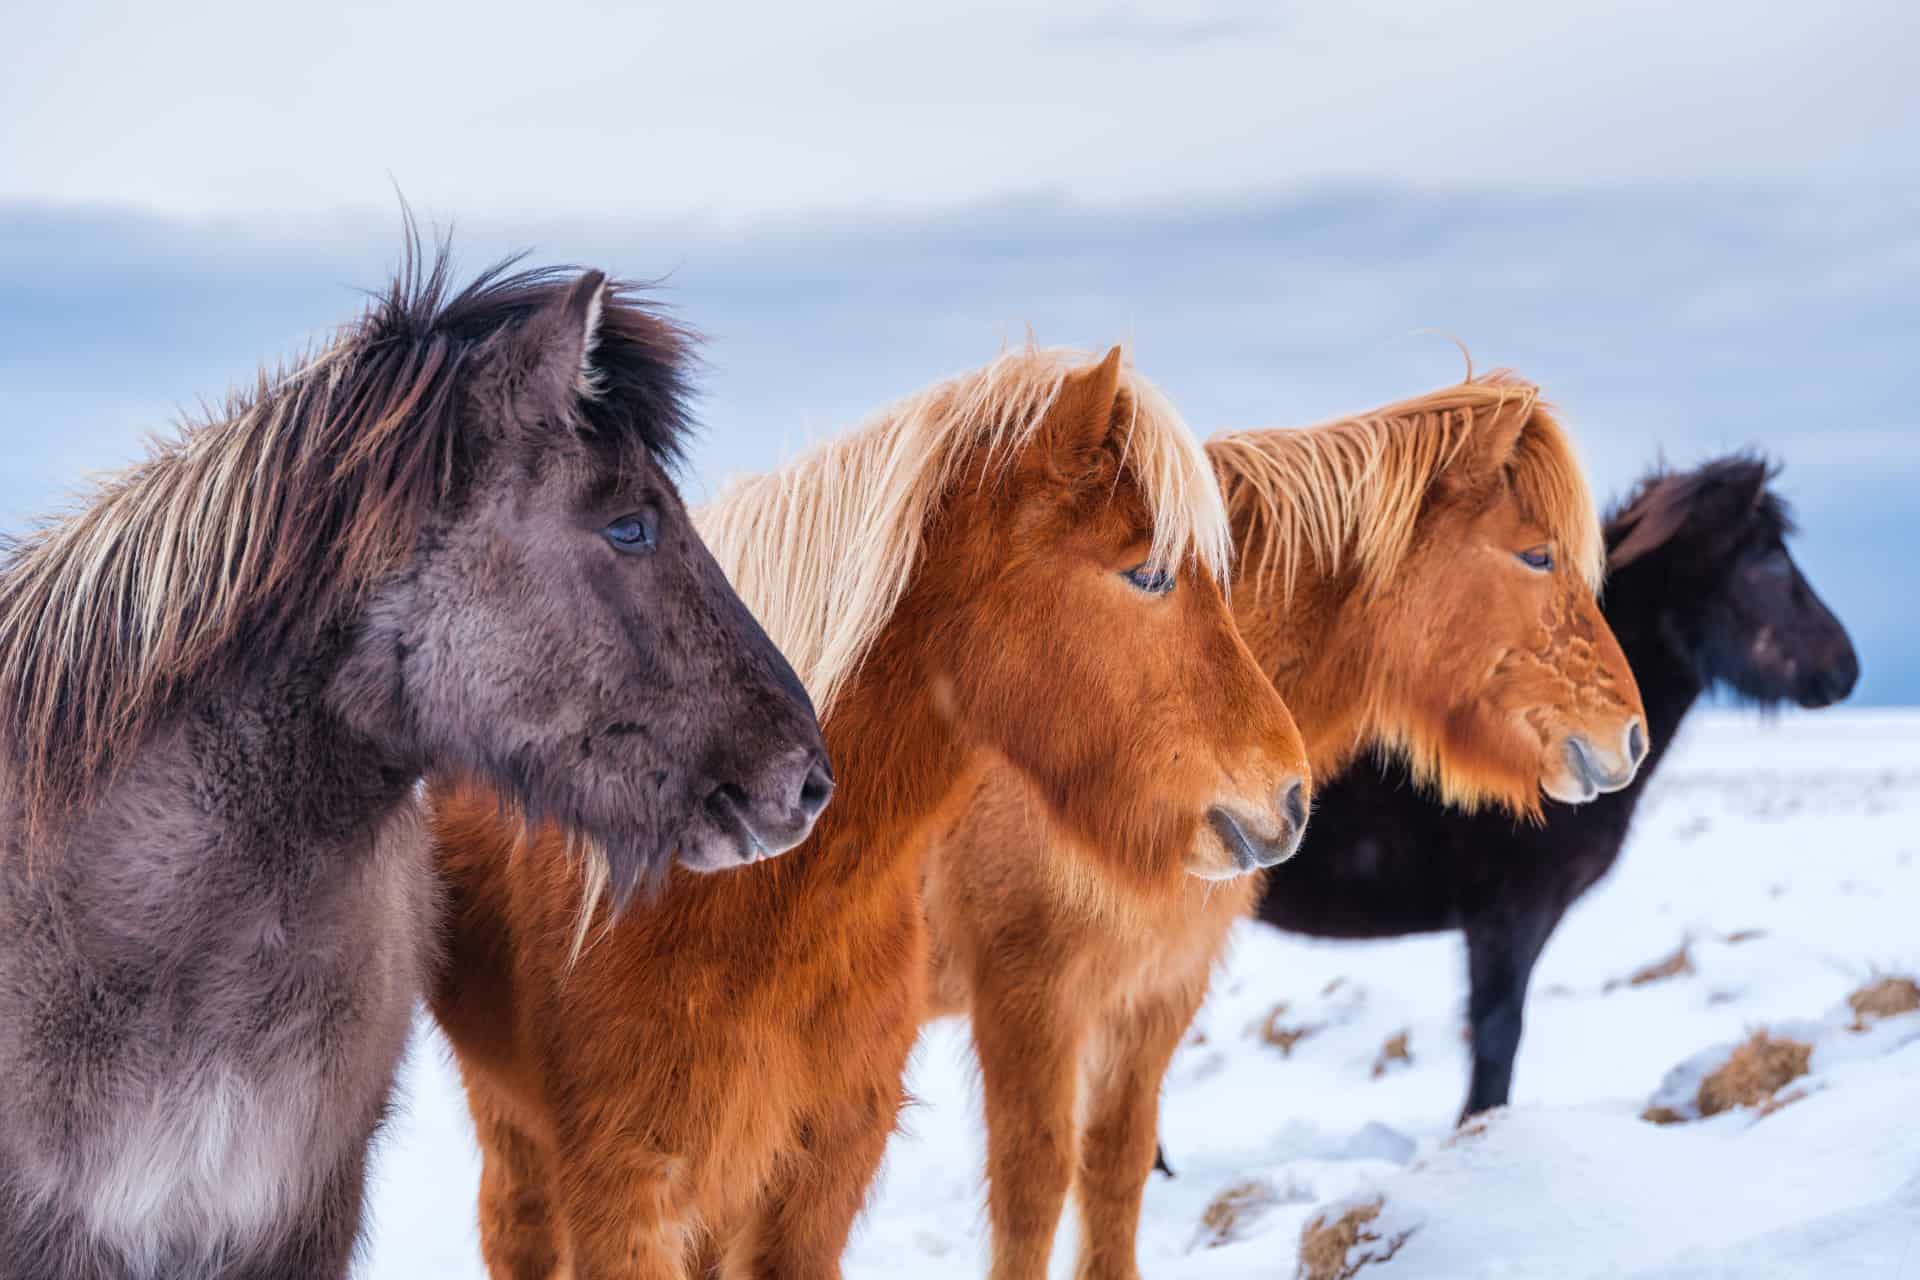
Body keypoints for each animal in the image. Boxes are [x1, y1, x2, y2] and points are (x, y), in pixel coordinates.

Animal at [921, 370, 1643, 1280]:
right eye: (1537, 554)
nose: (1630, 735)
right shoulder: (1029, 999)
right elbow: (1030, 1193)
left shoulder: (1153, 994)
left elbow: (1115, 1171)